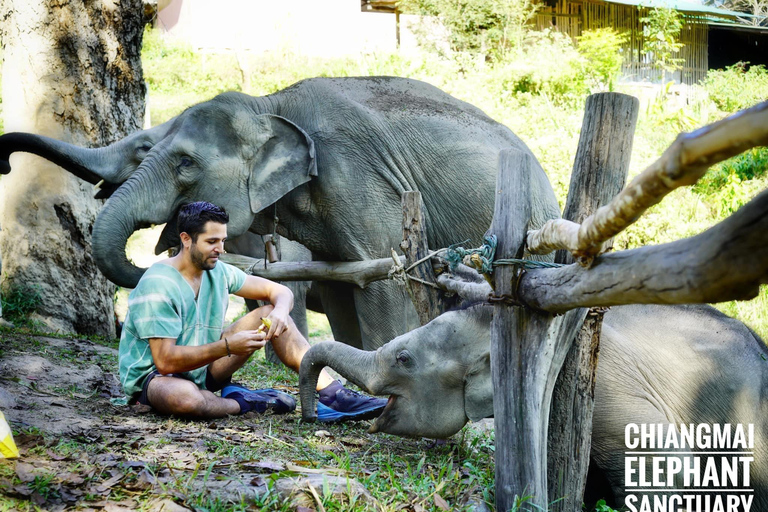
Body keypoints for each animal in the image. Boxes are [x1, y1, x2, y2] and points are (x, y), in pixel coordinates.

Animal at [0, 76, 560, 350]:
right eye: (148, 151)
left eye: (184, 163)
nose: (5, 162)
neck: (268, 104)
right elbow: (342, 286)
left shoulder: (358, 178)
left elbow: (384, 285)